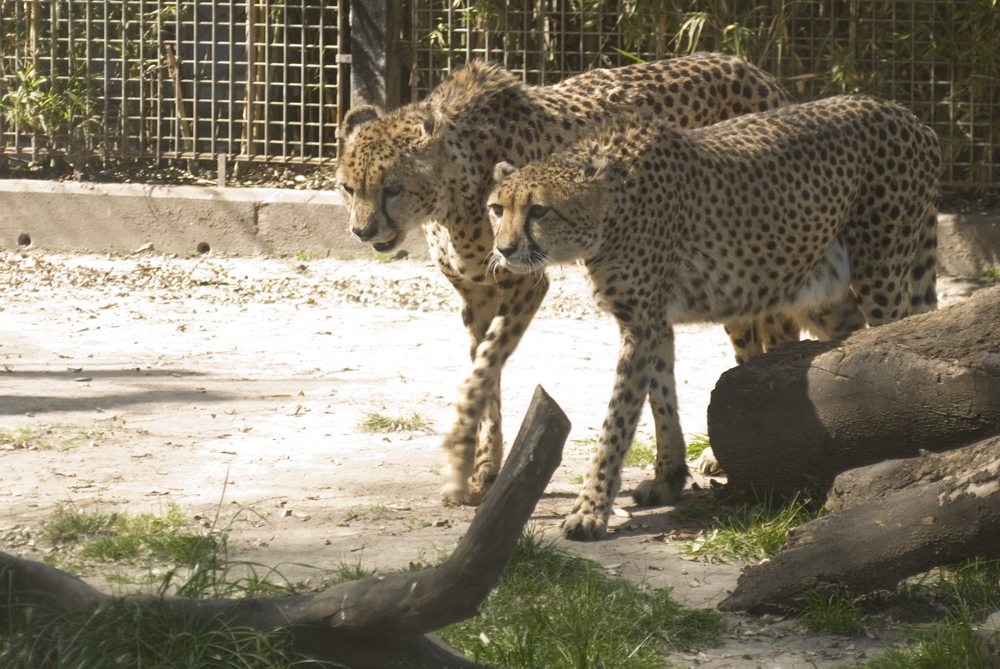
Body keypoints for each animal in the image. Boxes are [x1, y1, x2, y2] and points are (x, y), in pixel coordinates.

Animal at [334, 53, 860, 506]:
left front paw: (466, 457)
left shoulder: (526, 283)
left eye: (392, 188)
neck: (452, 186)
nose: (362, 231)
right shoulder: (477, 295)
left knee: (776, 339)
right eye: (347, 187)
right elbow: (486, 378)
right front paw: (482, 469)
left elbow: (485, 366)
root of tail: (754, 69)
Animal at [488, 96, 940, 540]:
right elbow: (660, 397)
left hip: (879, 273)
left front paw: (590, 510)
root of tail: (906, 113)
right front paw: (668, 478)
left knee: (892, 336)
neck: (610, 206)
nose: (504, 249)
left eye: (539, 210)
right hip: (825, 289)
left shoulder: (642, 322)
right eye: (496, 209)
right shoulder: (652, 320)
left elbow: (618, 418)